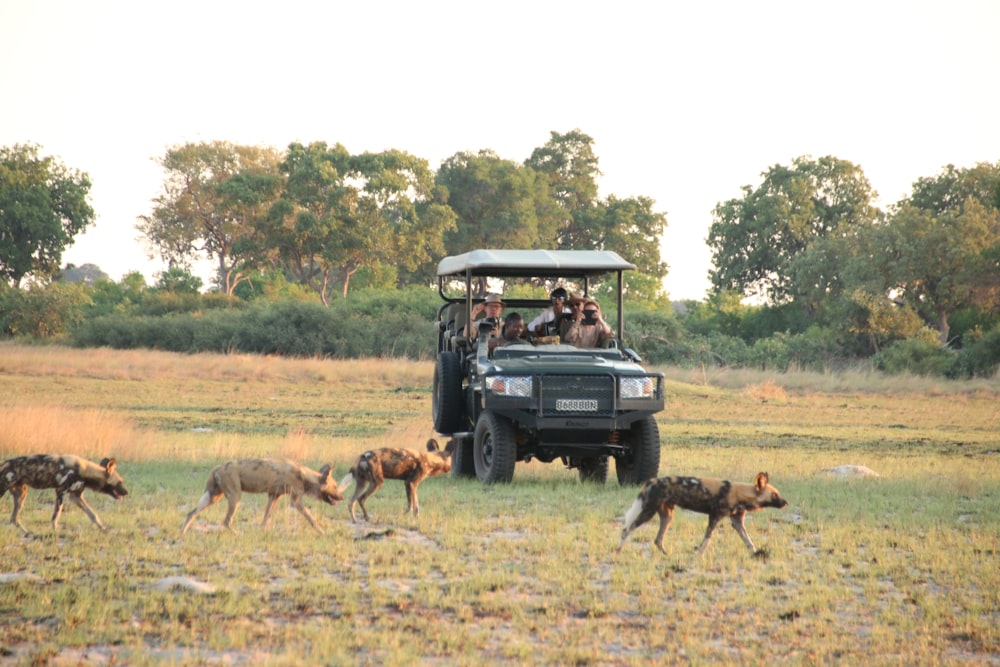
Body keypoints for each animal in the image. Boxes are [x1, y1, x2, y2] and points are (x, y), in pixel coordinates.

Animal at [0, 454, 129, 532]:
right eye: (120, 482)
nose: (126, 493)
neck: (85, 471)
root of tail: (3, 463)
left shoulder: (76, 497)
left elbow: (92, 514)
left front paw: (103, 528)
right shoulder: (60, 492)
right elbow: (56, 516)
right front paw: (55, 531)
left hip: (21, 494)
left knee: (14, 519)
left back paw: (27, 532)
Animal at [183, 460, 344, 536]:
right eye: (335, 487)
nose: (342, 497)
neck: (304, 476)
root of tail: (219, 467)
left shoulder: (273, 496)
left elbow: (266, 518)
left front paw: (262, 531)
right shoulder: (295, 502)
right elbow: (312, 519)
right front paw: (322, 532)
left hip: (213, 497)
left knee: (191, 513)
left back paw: (182, 533)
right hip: (235, 498)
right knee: (226, 522)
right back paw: (238, 534)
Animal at [616, 472, 788, 556]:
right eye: (775, 495)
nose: (786, 502)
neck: (741, 493)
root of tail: (652, 481)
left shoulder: (737, 522)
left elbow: (748, 540)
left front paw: (756, 553)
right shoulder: (715, 517)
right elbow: (707, 538)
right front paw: (699, 553)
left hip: (667, 516)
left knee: (658, 539)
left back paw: (666, 554)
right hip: (647, 511)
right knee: (626, 529)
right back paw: (618, 550)